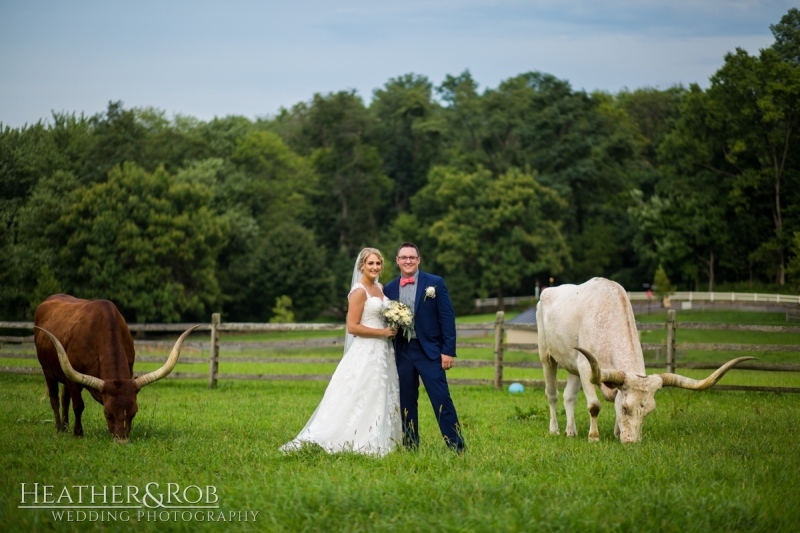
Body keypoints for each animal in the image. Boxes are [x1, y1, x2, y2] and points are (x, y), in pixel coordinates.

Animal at [34, 296, 198, 440]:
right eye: (107, 413)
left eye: (134, 412)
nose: (121, 440)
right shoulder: (72, 379)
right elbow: (78, 405)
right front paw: (78, 433)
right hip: (48, 371)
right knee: (55, 398)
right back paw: (59, 428)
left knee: (64, 398)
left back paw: (65, 427)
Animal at [536, 276, 752, 442]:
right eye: (626, 408)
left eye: (648, 412)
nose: (632, 441)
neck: (605, 318)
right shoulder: (586, 366)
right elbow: (594, 406)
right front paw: (594, 437)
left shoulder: (588, 369)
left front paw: (616, 433)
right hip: (547, 356)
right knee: (552, 394)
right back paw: (555, 430)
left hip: (571, 365)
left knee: (569, 397)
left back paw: (571, 431)